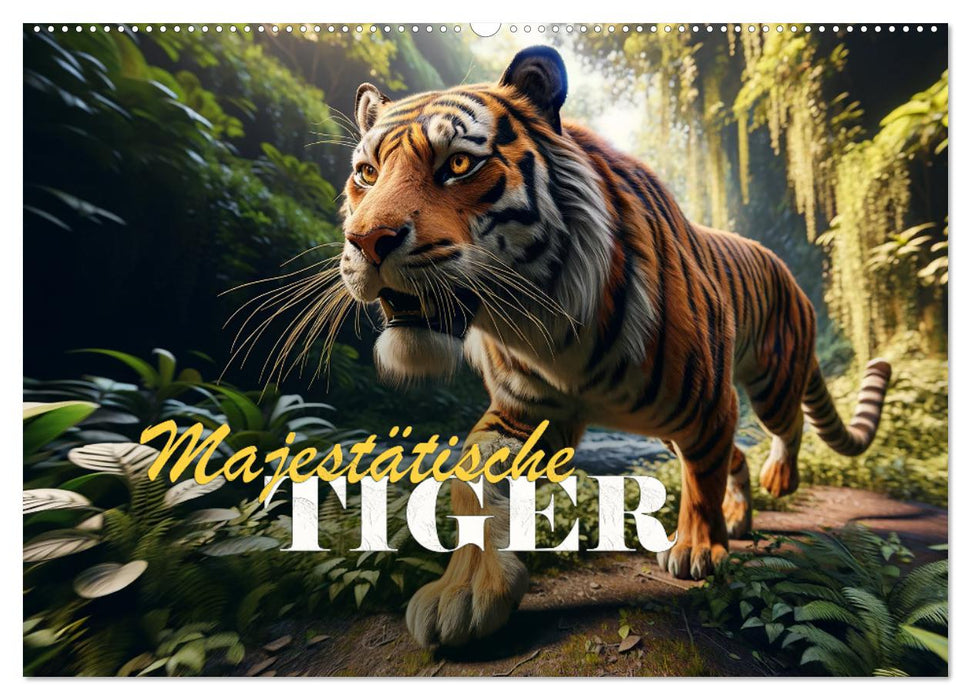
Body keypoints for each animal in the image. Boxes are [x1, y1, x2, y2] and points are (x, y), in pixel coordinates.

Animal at [337, 45, 892, 648]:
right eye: (367, 174)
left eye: (458, 165)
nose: (365, 241)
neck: (539, 321)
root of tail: (790, 275)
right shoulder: (528, 410)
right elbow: (472, 477)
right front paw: (464, 592)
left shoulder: (709, 398)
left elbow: (701, 481)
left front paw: (697, 550)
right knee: (731, 453)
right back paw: (741, 517)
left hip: (768, 379)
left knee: (778, 430)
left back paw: (777, 479)